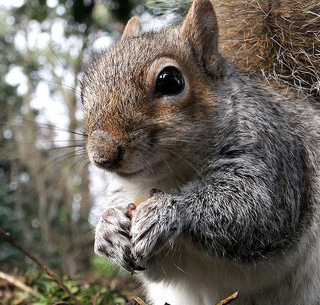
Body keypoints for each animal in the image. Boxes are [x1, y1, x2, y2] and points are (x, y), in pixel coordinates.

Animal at [81, 1, 320, 302]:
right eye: (84, 88)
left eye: (170, 81)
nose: (102, 156)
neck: (168, 175)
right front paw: (107, 229)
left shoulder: (273, 155)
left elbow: (256, 208)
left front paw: (166, 210)